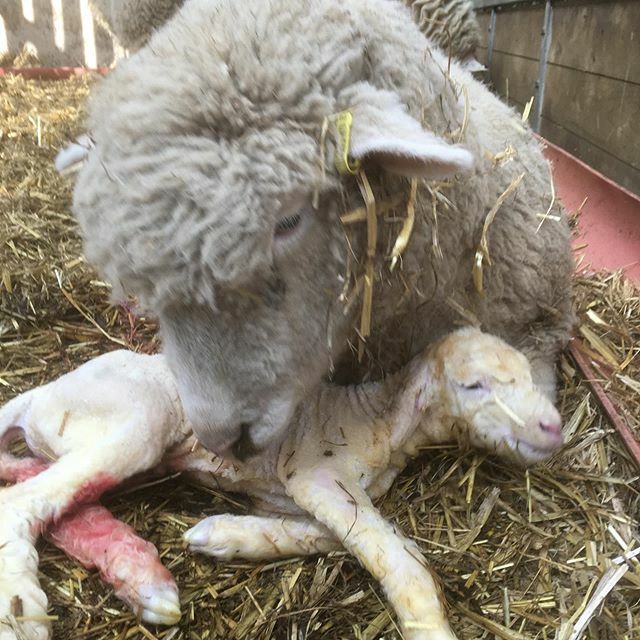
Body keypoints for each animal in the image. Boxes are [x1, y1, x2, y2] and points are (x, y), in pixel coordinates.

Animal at [0, 328, 564, 640]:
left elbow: (351, 538)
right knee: (21, 503)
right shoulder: (316, 473)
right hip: (136, 415)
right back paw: (23, 612)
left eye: (528, 375)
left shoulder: (296, 494)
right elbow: (394, 556)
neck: (378, 420)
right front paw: (431, 626)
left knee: (41, 488)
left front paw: (225, 536)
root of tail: (39, 394)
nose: (552, 427)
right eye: (473, 385)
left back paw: (142, 580)